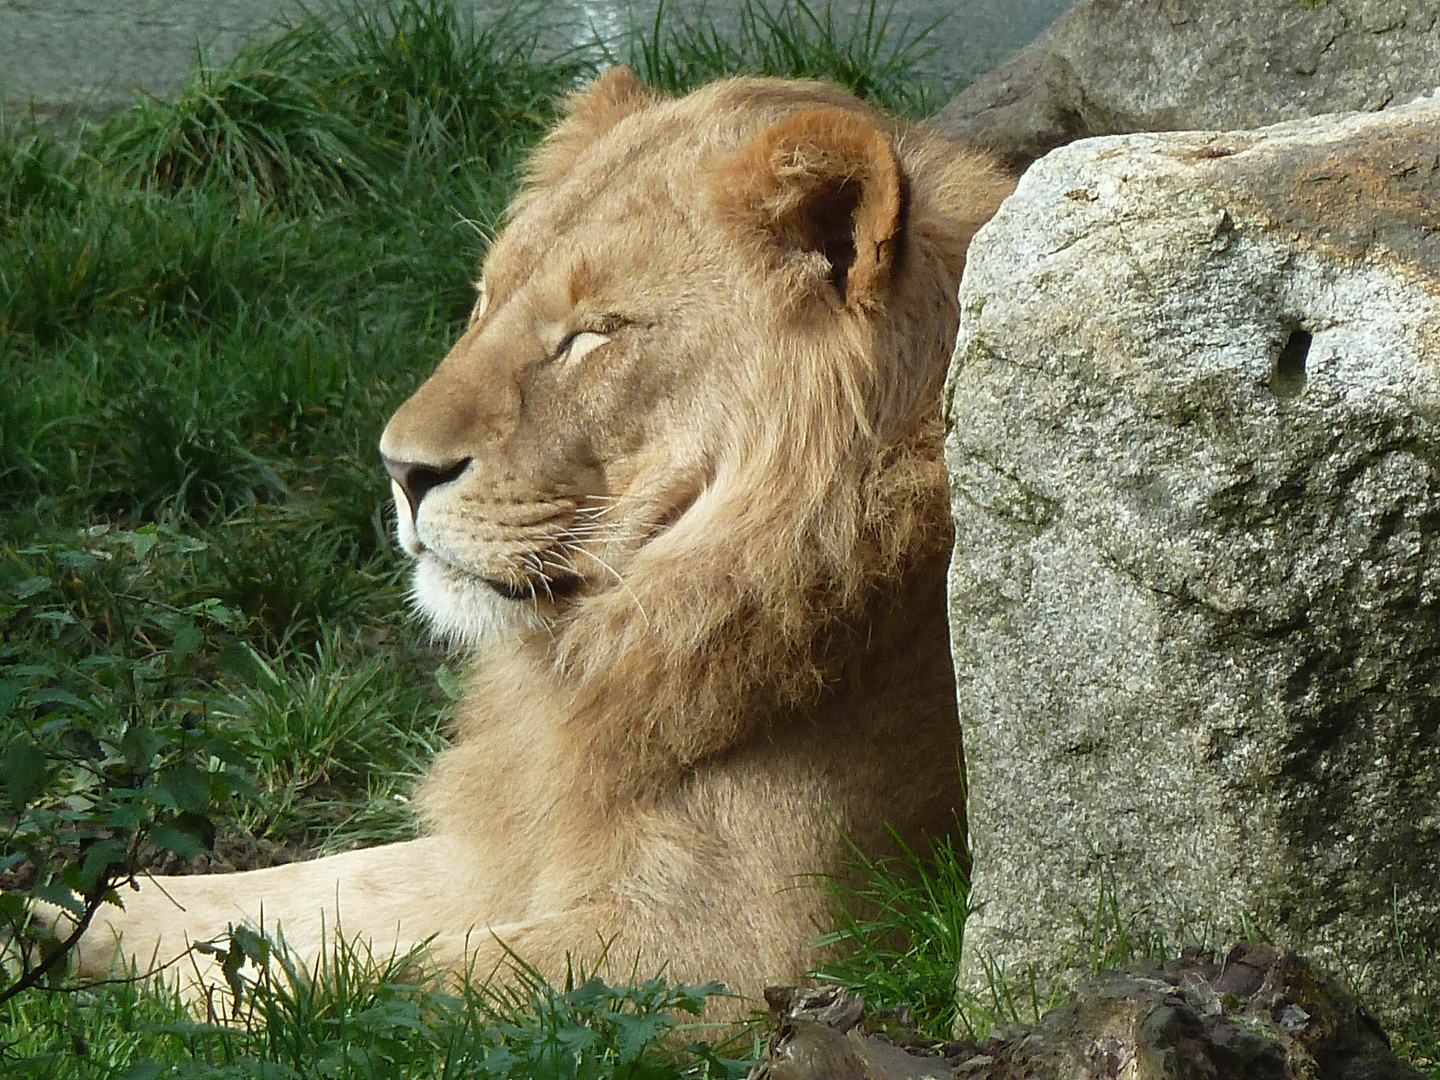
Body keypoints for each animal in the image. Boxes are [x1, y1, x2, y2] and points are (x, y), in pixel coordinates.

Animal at [64, 65, 1013, 1013]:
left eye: (592, 336)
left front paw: (150, 997)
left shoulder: (755, 947)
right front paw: (73, 923)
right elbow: (321, 888)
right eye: (484, 302)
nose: (399, 468)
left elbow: (365, 981)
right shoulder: (518, 836)